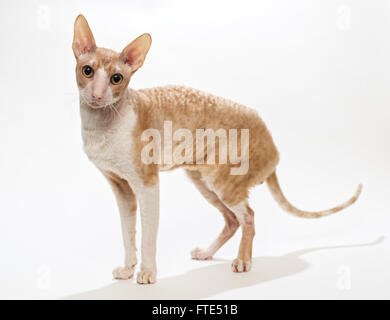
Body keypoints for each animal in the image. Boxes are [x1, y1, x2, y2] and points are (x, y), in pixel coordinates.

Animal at [73, 14, 362, 284]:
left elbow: (148, 235)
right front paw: (127, 269)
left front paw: (147, 273)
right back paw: (207, 253)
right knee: (232, 220)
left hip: (225, 181)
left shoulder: (147, 183)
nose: (97, 96)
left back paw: (243, 261)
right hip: (202, 179)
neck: (101, 125)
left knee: (248, 217)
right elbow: (127, 231)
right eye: (87, 71)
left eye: (116, 78)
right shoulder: (120, 186)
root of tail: (272, 145)